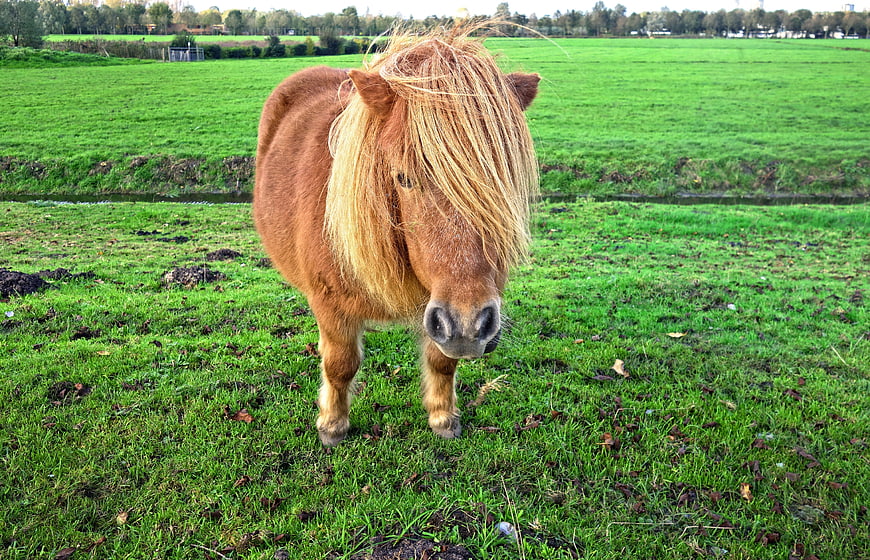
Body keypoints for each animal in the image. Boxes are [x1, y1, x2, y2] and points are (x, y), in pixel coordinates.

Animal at [253, 23, 540, 446]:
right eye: (403, 178)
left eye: (501, 178)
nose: (468, 326)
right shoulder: (329, 303)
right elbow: (340, 363)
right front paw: (332, 425)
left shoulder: (440, 309)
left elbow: (442, 360)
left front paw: (442, 417)